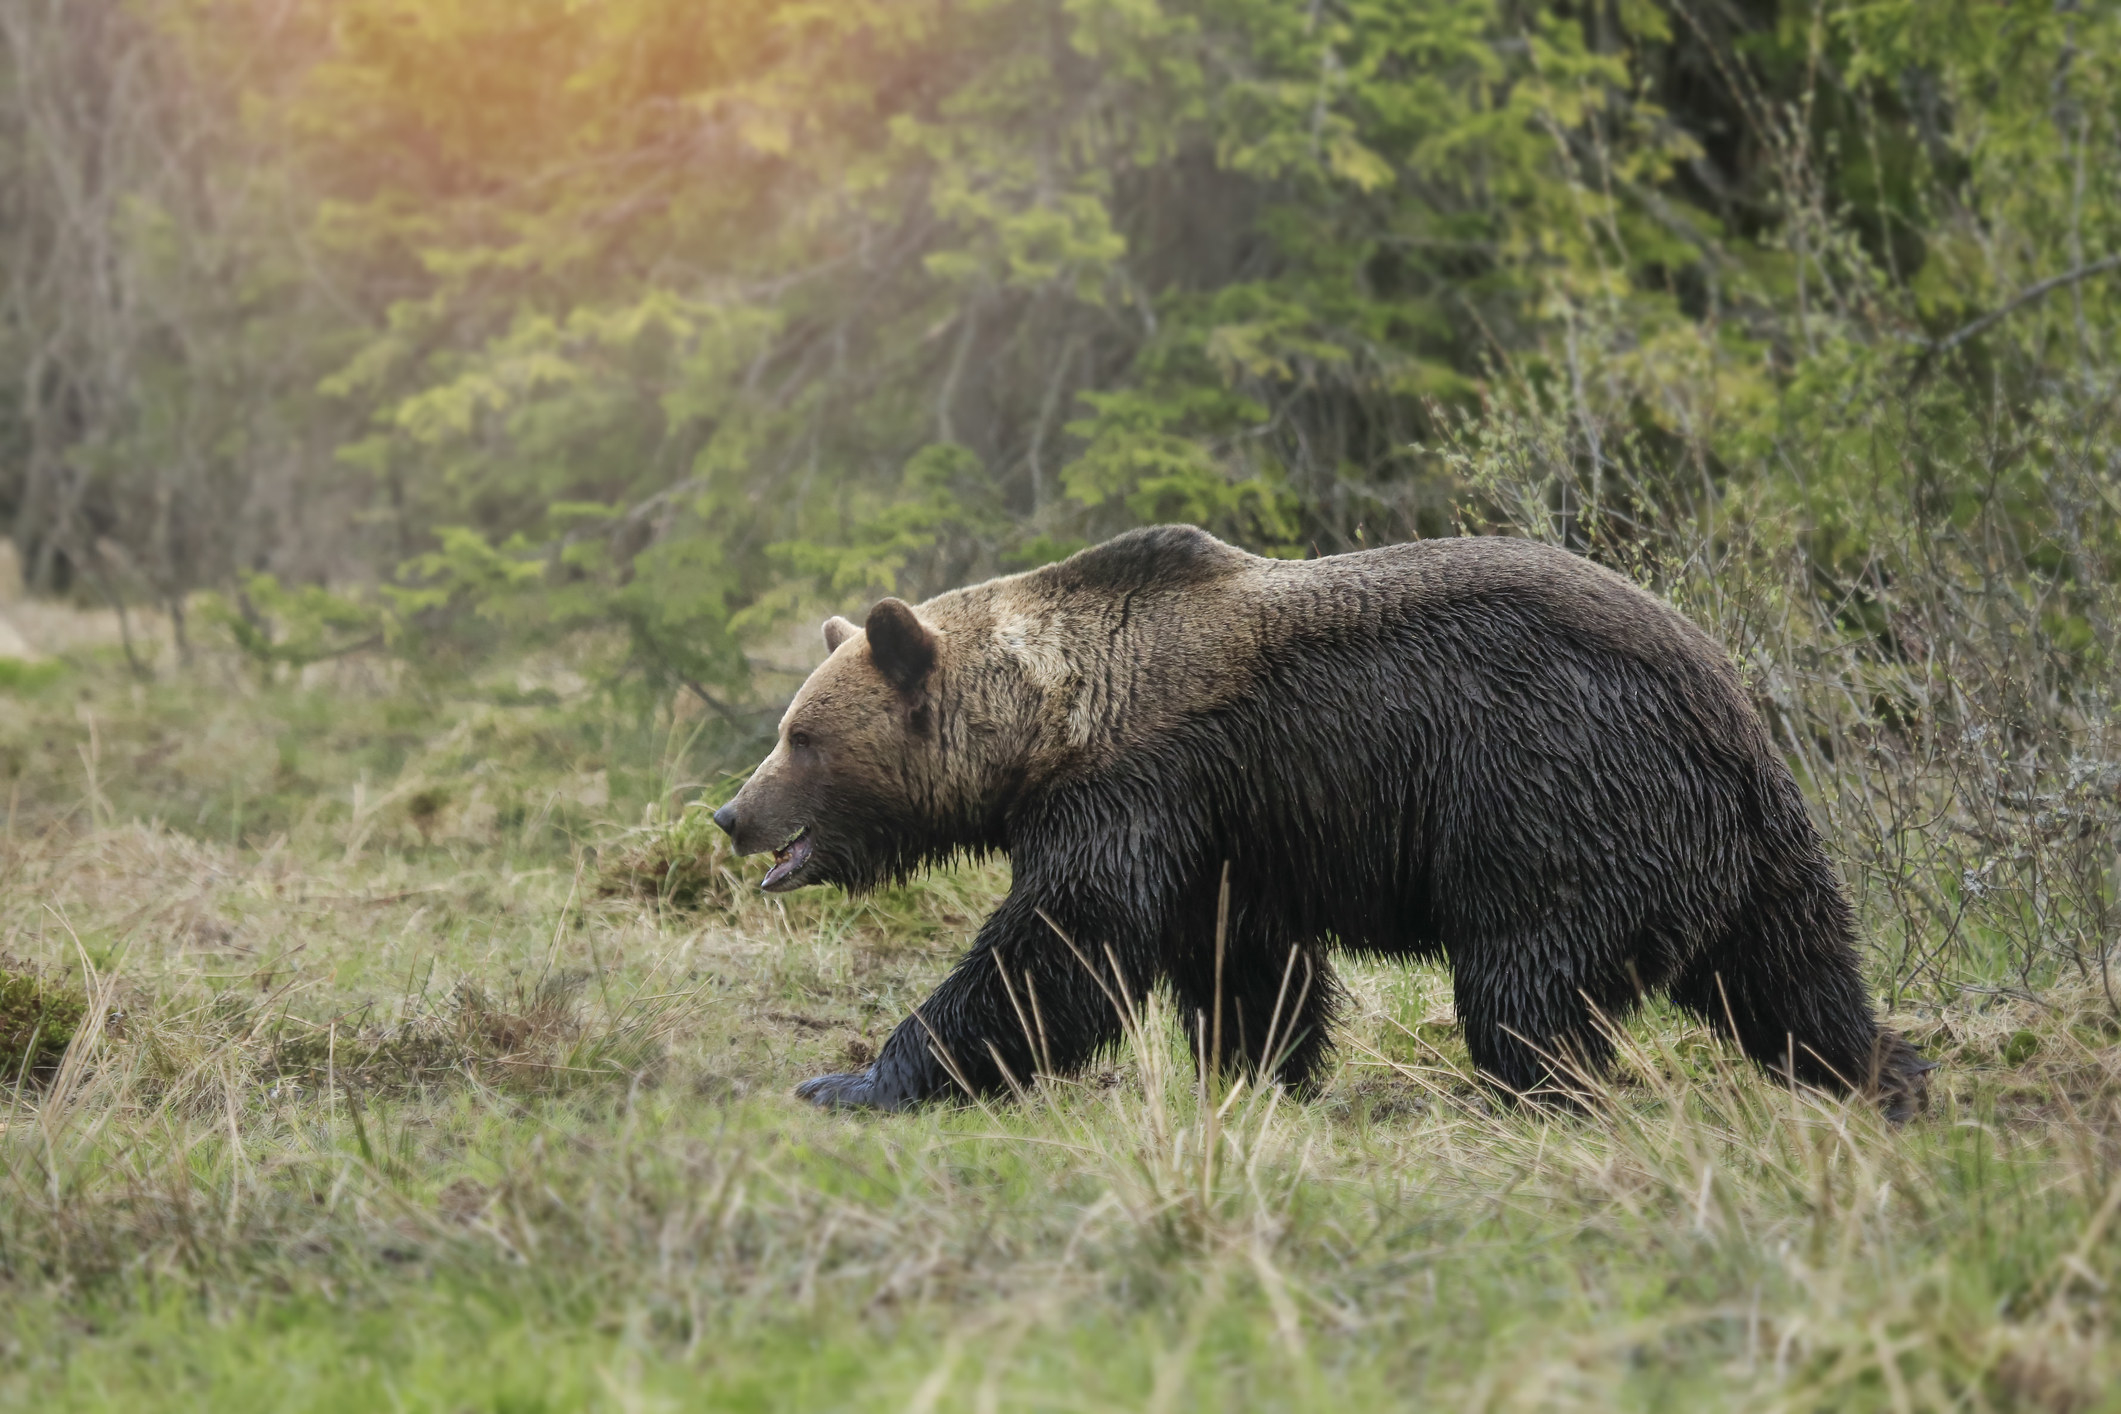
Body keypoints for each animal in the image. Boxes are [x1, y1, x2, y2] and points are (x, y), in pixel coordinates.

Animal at [716, 519, 1942, 1119]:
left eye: (802, 736)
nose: (732, 813)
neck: (1054, 717)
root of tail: (1735, 717)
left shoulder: (1142, 786)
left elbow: (1061, 944)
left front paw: (857, 1078)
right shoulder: (1231, 827)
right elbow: (1244, 965)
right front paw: (1253, 1073)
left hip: (1561, 798)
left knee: (1528, 985)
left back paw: (1528, 1097)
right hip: (1750, 849)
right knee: (1792, 975)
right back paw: (1887, 1076)